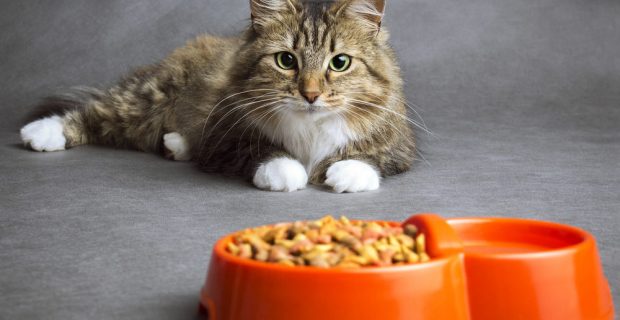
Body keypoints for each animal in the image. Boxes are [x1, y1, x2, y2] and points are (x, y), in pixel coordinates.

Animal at [20, 0, 416, 192]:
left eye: (340, 63)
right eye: (286, 60)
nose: (311, 94)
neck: (311, 128)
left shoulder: (398, 147)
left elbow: (369, 157)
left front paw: (347, 175)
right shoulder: (225, 138)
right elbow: (262, 152)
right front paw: (287, 172)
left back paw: (175, 144)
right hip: (147, 99)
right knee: (94, 111)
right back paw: (41, 133)